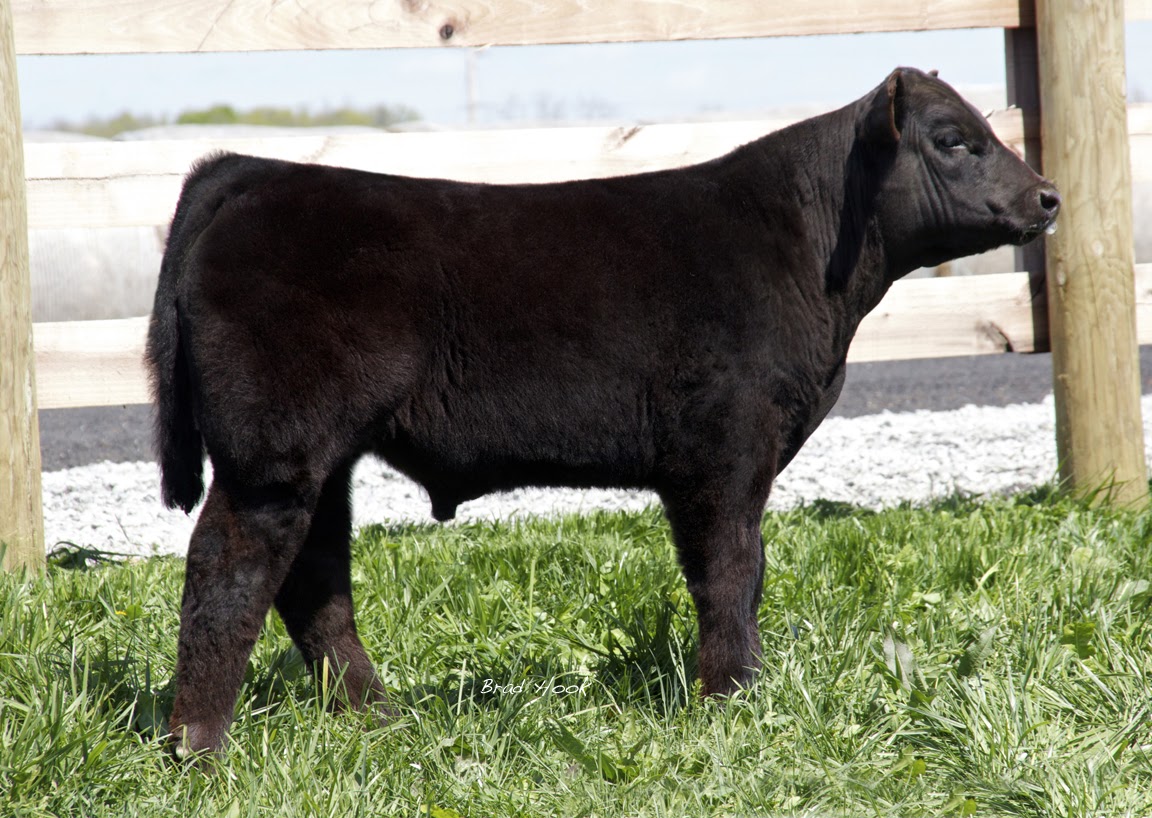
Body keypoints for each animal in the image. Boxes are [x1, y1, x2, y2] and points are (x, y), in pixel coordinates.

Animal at [147, 67, 1059, 757]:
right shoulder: (725, 450)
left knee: (314, 578)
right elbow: (730, 570)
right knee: (229, 567)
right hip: (274, 455)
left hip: (322, 457)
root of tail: (255, 171)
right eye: (953, 140)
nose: (1048, 197)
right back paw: (200, 744)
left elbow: (748, 571)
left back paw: (377, 716)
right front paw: (731, 698)